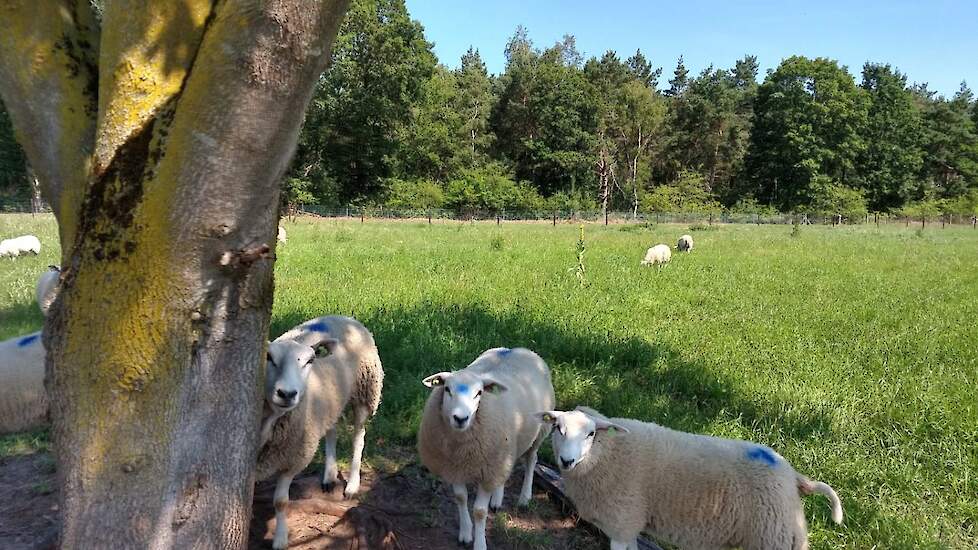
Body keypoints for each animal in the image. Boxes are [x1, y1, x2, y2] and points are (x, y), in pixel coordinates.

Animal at [255, 314, 382, 550]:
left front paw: (280, 539)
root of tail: (343, 316)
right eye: (269, 357)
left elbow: (281, 502)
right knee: (331, 432)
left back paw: (352, 484)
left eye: (310, 361)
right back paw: (329, 476)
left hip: (365, 392)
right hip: (331, 401)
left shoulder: (294, 459)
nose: (287, 394)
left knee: (358, 438)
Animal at [418, 350, 556, 550]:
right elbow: (460, 497)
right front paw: (465, 533)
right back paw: (497, 499)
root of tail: (518, 348)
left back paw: (524, 497)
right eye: (447, 389)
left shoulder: (487, 470)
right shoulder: (454, 467)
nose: (461, 418)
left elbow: (479, 511)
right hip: (505, 449)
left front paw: (480, 543)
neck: (460, 447)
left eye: (479, 393)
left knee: (531, 460)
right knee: (506, 468)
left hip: (539, 431)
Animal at [532, 408, 840, 550]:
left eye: (591, 434)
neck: (607, 455)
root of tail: (793, 475)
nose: (567, 461)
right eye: (558, 429)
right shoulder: (628, 527)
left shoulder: (622, 522)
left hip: (774, 538)